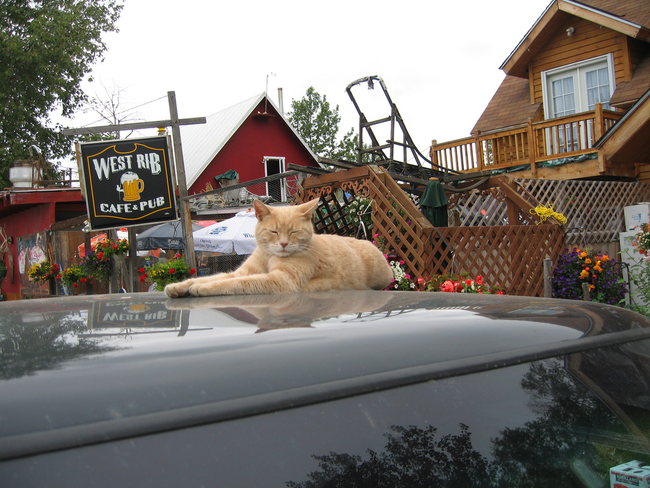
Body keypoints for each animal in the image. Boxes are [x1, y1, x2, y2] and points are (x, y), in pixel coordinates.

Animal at [165, 198, 392, 298]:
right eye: (274, 232)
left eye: (293, 232)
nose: (283, 243)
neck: (269, 256)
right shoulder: (244, 271)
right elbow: (211, 277)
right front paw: (179, 286)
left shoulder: (281, 280)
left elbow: (235, 283)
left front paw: (203, 288)